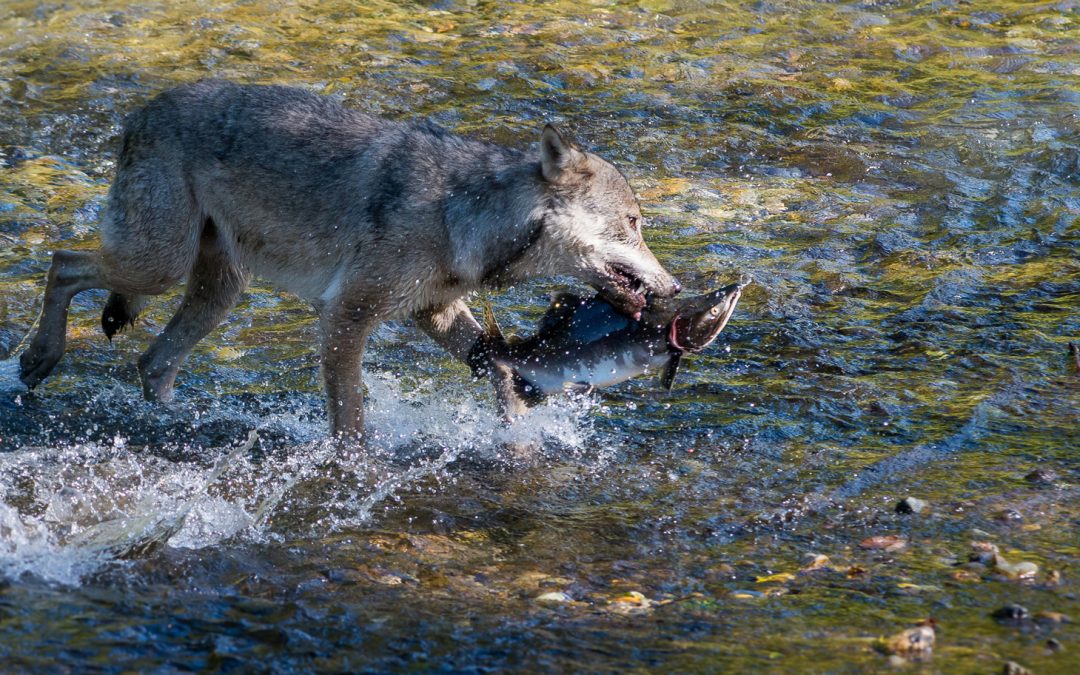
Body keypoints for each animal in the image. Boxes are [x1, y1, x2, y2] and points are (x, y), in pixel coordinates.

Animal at [19, 80, 680, 440]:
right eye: (634, 223)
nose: (675, 290)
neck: (462, 214)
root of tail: (141, 110)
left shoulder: (432, 311)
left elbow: (499, 369)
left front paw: (517, 440)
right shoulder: (346, 316)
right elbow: (352, 423)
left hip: (215, 292)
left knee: (151, 361)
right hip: (157, 266)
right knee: (63, 261)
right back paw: (38, 359)